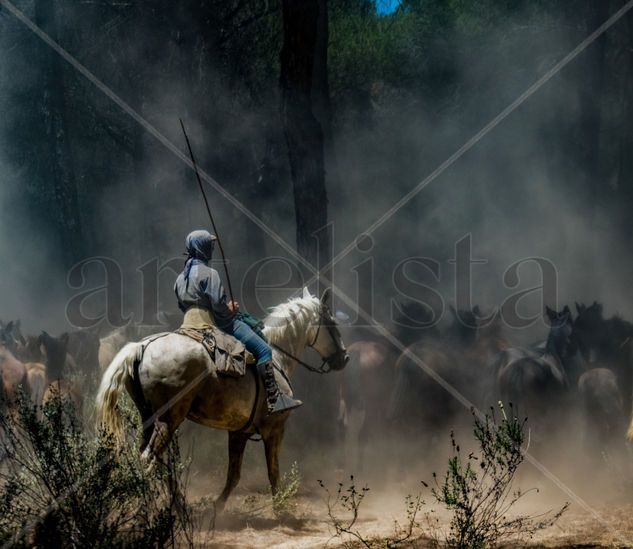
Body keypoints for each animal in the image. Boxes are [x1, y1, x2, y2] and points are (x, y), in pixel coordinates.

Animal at [96, 288, 348, 508]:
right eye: (332, 323)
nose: (344, 358)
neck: (277, 356)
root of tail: (142, 346)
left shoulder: (239, 432)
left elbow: (233, 475)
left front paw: (216, 509)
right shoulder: (274, 429)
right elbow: (273, 474)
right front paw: (281, 511)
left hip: (148, 418)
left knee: (151, 461)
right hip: (168, 420)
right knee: (148, 460)